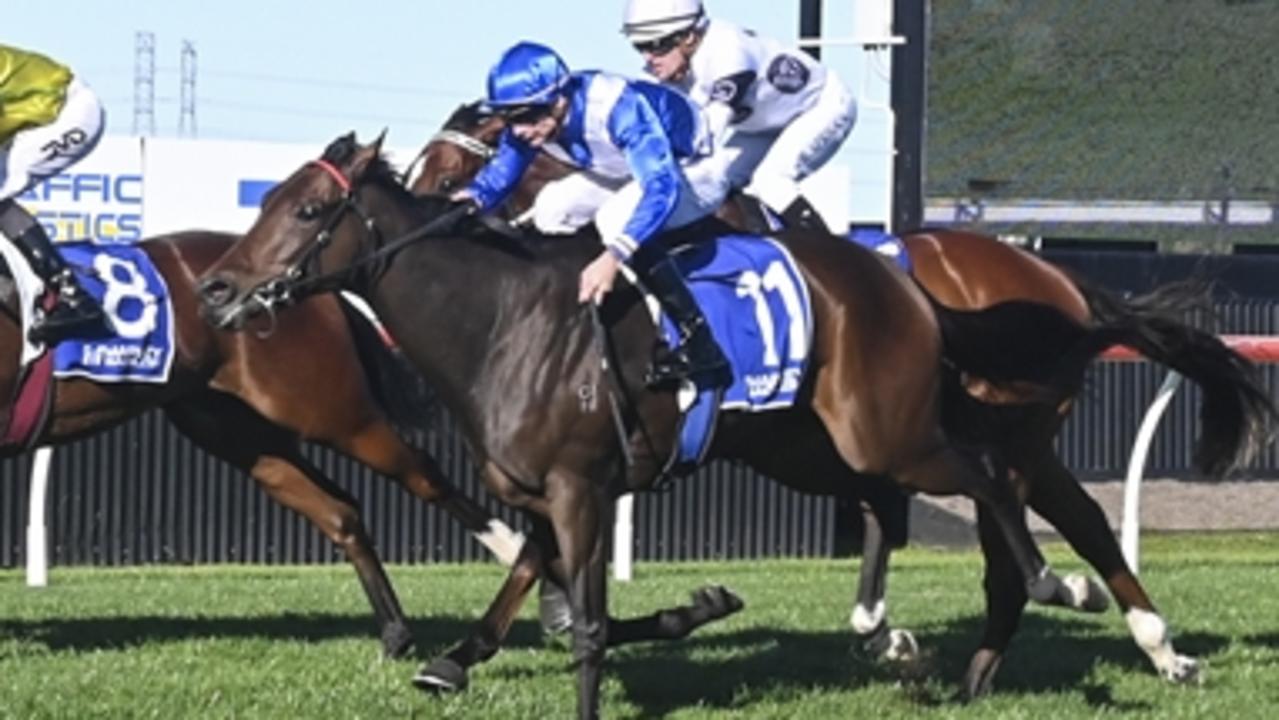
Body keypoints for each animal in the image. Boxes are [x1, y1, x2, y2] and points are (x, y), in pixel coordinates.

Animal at [1, 230, 519, 659]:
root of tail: (306, 287)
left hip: (333, 415)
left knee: (423, 476)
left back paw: (512, 550)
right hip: (237, 431)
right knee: (341, 512)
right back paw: (396, 634)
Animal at [191, 133, 1227, 716]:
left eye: (309, 209)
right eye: (268, 200)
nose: (215, 289)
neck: (503, 320)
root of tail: (909, 287)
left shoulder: (579, 487)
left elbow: (585, 622)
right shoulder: (548, 492)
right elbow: (533, 582)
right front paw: (454, 661)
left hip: (899, 434)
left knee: (1001, 488)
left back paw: (1081, 600)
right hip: (817, 449)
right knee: (929, 508)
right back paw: (959, 653)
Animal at [411, 104, 1279, 695]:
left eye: (447, 175)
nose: (422, 224)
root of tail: (1058, 280)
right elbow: (540, 545)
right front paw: (461, 656)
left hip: (1011, 435)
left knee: (1070, 522)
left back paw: (1151, 646)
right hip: (982, 437)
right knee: (1027, 530)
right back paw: (1014, 663)